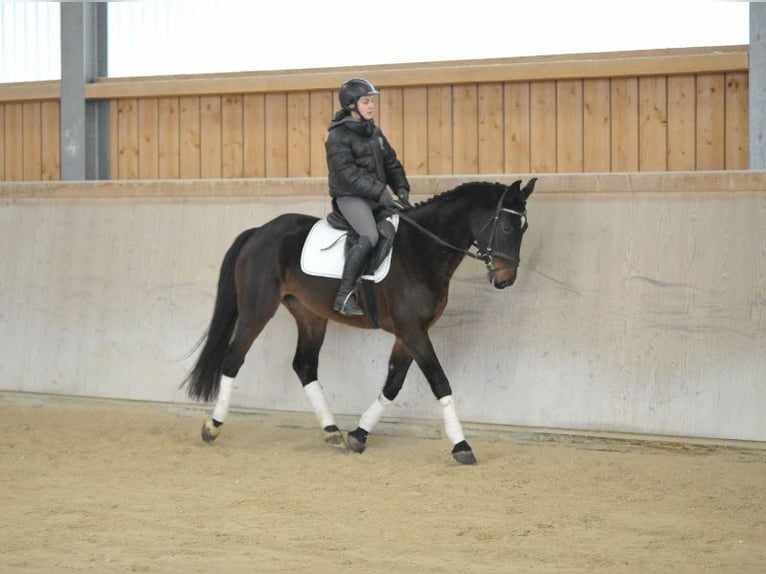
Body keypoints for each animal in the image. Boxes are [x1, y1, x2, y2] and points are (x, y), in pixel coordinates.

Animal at [182, 178, 536, 466]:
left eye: (524, 229)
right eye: (507, 228)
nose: (505, 280)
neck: (422, 250)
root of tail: (260, 231)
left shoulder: (409, 333)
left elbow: (392, 384)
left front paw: (359, 434)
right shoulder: (413, 331)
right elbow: (440, 382)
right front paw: (462, 446)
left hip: (310, 315)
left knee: (304, 365)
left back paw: (332, 431)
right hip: (258, 309)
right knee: (233, 359)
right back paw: (212, 427)